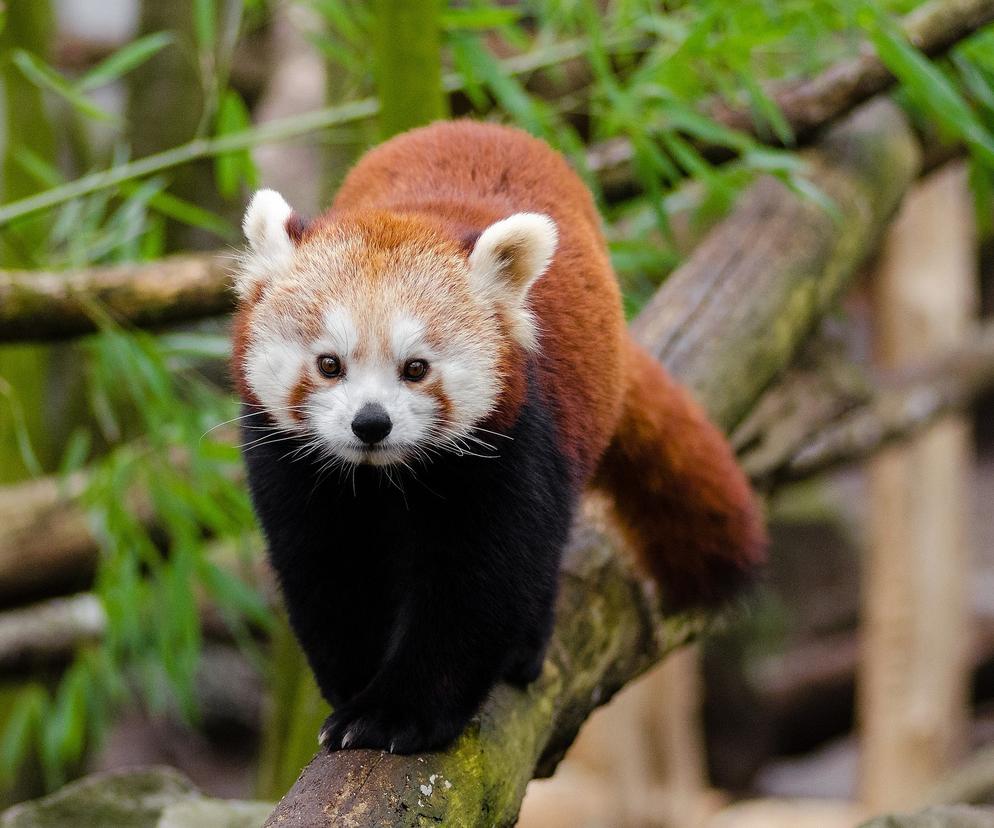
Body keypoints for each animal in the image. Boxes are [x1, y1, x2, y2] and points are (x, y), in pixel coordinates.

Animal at [232, 119, 768, 752]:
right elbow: (324, 568)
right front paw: (353, 684)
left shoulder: (512, 445)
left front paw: (396, 712)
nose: (371, 422)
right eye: (329, 364)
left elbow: (480, 585)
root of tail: (479, 125)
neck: (384, 478)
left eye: (416, 368)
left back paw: (526, 650)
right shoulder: (291, 468)